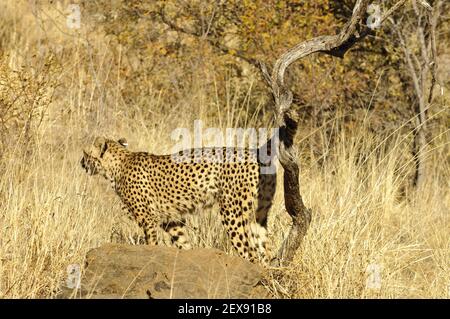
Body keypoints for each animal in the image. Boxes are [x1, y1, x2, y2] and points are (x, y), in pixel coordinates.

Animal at [81, 136, 278, 264]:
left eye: (85, 153)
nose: (81, 163)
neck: (118, 164)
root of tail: (255, 153)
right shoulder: (171, 220)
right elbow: (183, 242)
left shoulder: (148, 219)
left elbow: (152, 243)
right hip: (259, 214)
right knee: (266, 251)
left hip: (232, 213)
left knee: (249, 252)